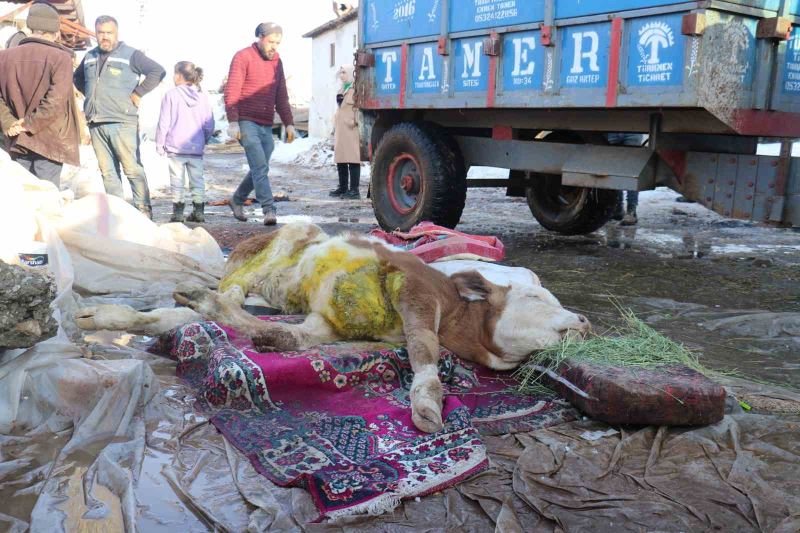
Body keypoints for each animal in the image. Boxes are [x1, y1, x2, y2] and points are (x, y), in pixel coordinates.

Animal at [78, 221, 592, 432]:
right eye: (537, 297)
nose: (585, 321)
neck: (453, 313)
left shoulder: (326, 324)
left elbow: (295, 336)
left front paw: (267, 337)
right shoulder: (415, 288)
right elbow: (424, 349)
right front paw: (428, 404)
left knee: (181, 315)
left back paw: (105, 317)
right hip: (285, 238)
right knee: (226, 295)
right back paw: (201, 296)